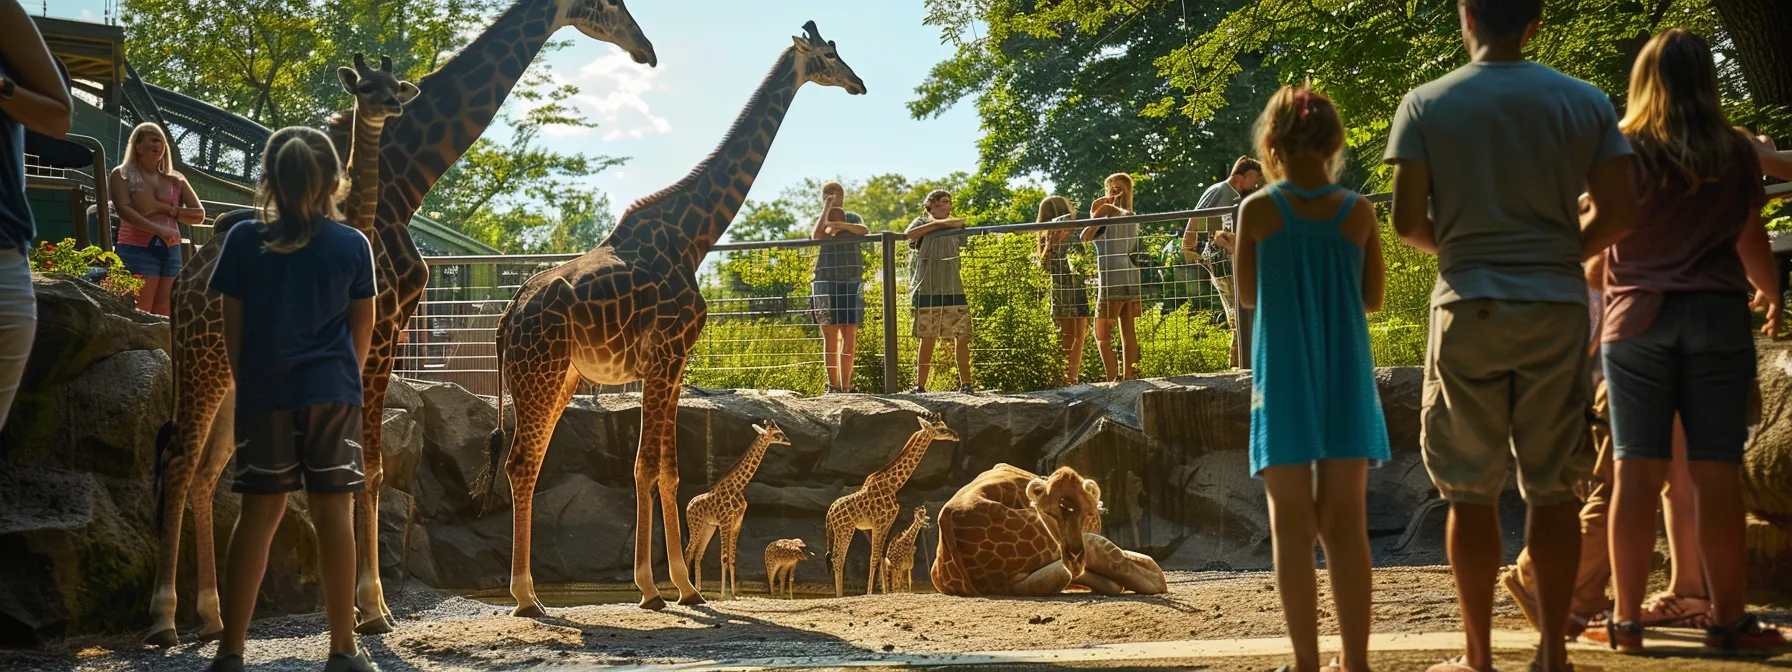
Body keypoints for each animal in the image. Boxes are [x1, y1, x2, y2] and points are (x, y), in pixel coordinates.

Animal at [684, 419, 790, 600]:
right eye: (777, 434)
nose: (788, 441)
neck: (740, 486)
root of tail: (687, 506)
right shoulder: (725, 521)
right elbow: (724, 557)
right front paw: (722, 595)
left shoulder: (737, 522)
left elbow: (733, 558)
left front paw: (733, 594)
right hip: (695, 525)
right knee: (688, 551)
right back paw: (689, 590)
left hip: (708, 527)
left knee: (698, 553)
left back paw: (699, 589)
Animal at [824, 413, 958, 597]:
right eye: (942, 429)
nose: (956, 436)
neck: (893, 485)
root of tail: (829, 514)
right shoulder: (880, 522)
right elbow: (874, 557)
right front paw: (870, 593)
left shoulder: (884, 523)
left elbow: (881, 555)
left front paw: (885, 592)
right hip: (845, 528)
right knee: (838, 557)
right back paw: (840, 595)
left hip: (840, 529)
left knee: (836, 557)